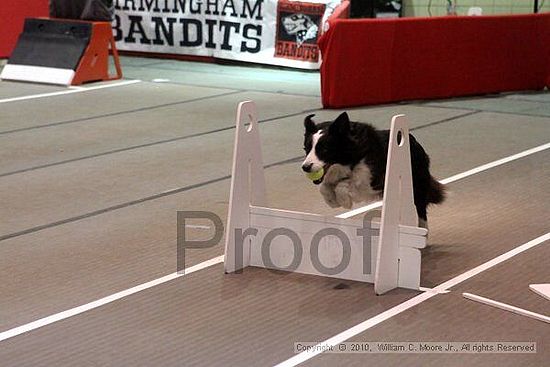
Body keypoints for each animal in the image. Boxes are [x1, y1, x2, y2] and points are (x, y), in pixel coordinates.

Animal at [304, 112, 446, 227]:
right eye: (306, 148)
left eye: (324, 149)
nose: (305, 167)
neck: (352, 156)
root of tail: (414, 141)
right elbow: (324, 187)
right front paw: (331, 201)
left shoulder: (374, 181)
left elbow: (345, 185)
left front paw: (344, 201)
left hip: (416, 185)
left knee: (421, 210)